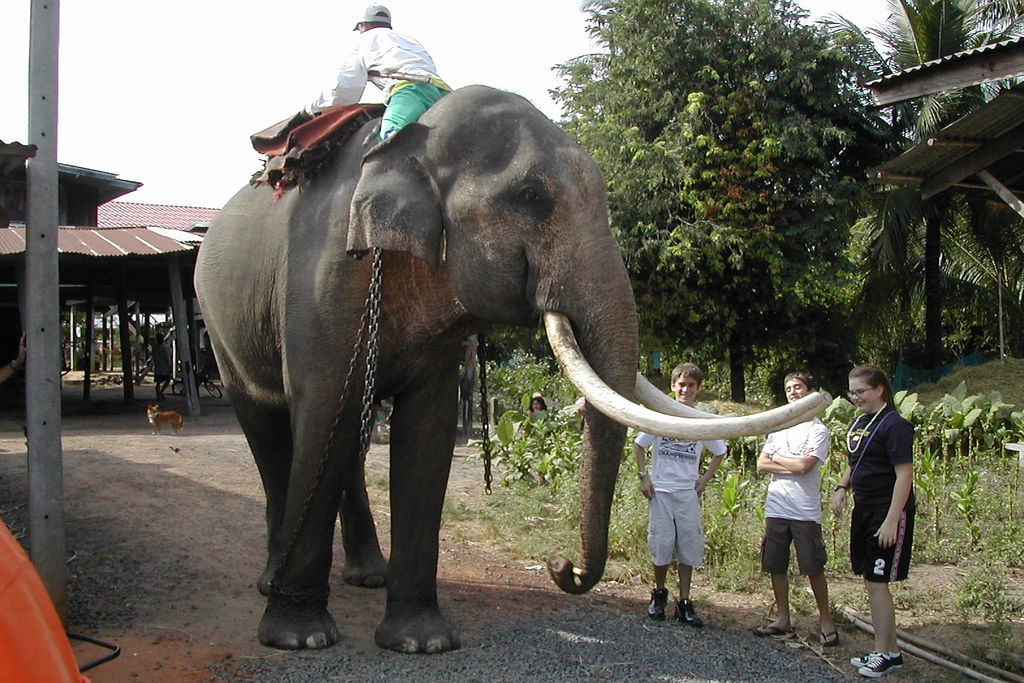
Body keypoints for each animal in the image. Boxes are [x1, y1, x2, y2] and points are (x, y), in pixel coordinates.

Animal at [193, 87, 831, 655]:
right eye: (530, 195)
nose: (560, 564)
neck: (411, 141)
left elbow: (426, 434)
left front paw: (422, 642)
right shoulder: (323, 282)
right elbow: (326, 411)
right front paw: (299, 639)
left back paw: (367, 576)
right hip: (220, 324)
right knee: (270, 427)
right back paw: (272, 584)